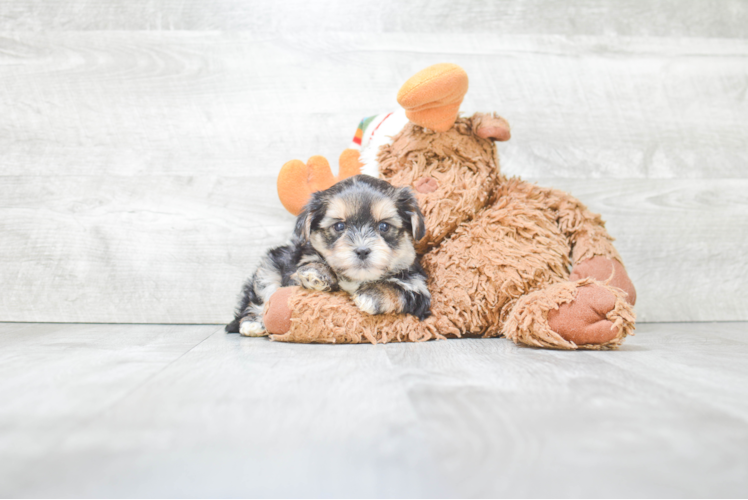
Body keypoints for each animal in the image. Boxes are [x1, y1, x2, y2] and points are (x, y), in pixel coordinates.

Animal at [225, 175, 430, 336]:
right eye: (339, 226)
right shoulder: (294, 264)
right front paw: (317, 274)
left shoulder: (419, 289)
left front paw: (371, 295)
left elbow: (400, 289)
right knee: (263, 294)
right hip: (270, 264)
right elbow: (310, 263)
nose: (362, 250)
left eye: (384, 226)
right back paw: (253, 322)